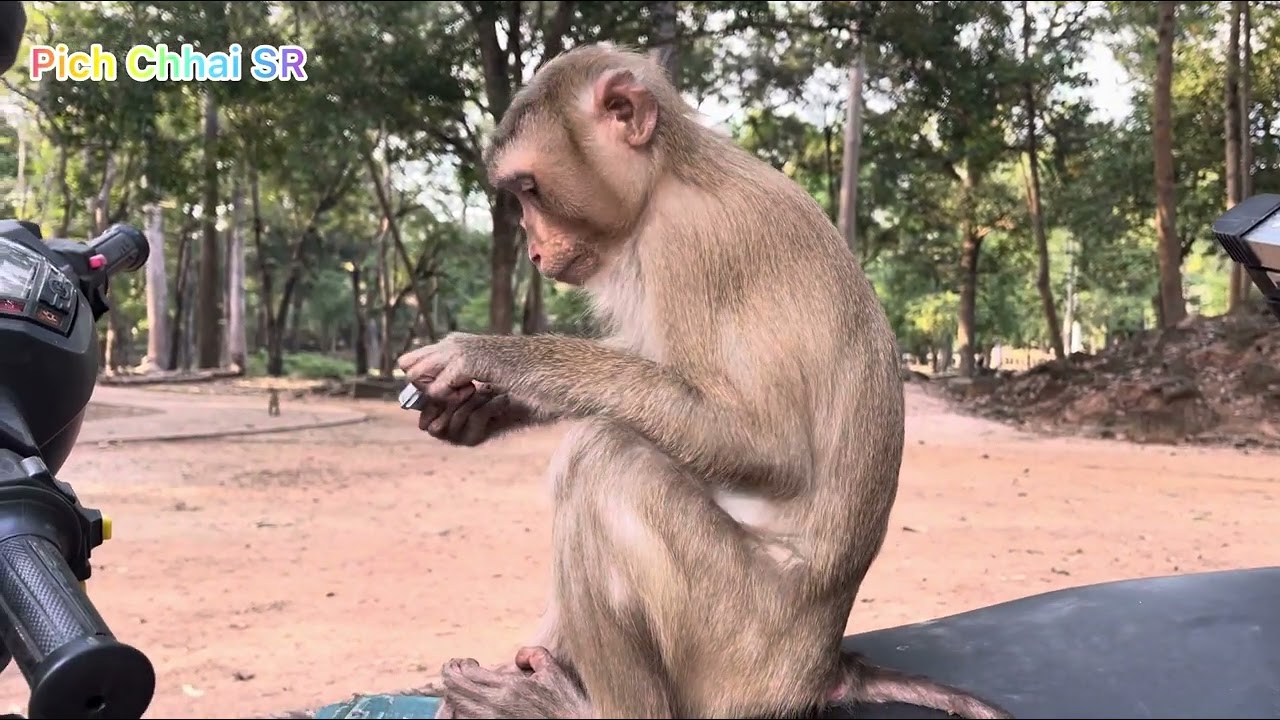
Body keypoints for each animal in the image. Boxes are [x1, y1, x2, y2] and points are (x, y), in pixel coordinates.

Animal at [398, 44, 1014, 720]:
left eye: (530, 190)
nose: (532, 249)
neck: (668, 175)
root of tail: (823, 666)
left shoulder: (686, 241)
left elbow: (766, 447)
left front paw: (490, 358)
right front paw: (479, 408)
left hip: (738, 646)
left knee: (604, 461)